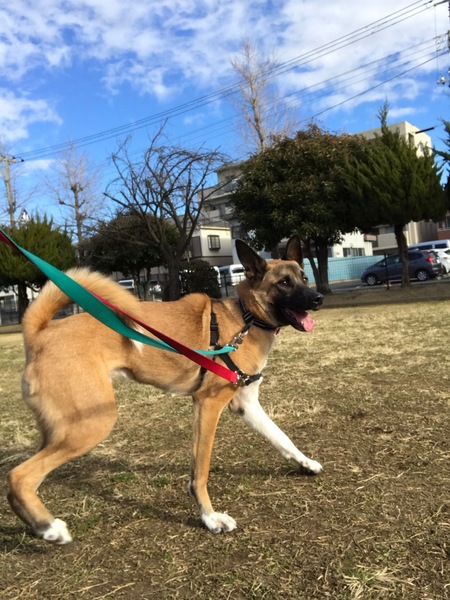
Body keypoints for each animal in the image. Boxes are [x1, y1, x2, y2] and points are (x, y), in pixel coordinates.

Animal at [7, 235, 323, 544]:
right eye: (284, 283)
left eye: (304, 277)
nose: (318, 298)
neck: (245, 318)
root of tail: (40, 333)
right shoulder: (208, 404)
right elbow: (201, 471)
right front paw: (210, 518)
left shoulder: (246, 404)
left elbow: (281, 438)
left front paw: (306, 463)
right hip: (90, 425)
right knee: (19, 476)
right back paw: (49, 528)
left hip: (62, 428)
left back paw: (37, 524)